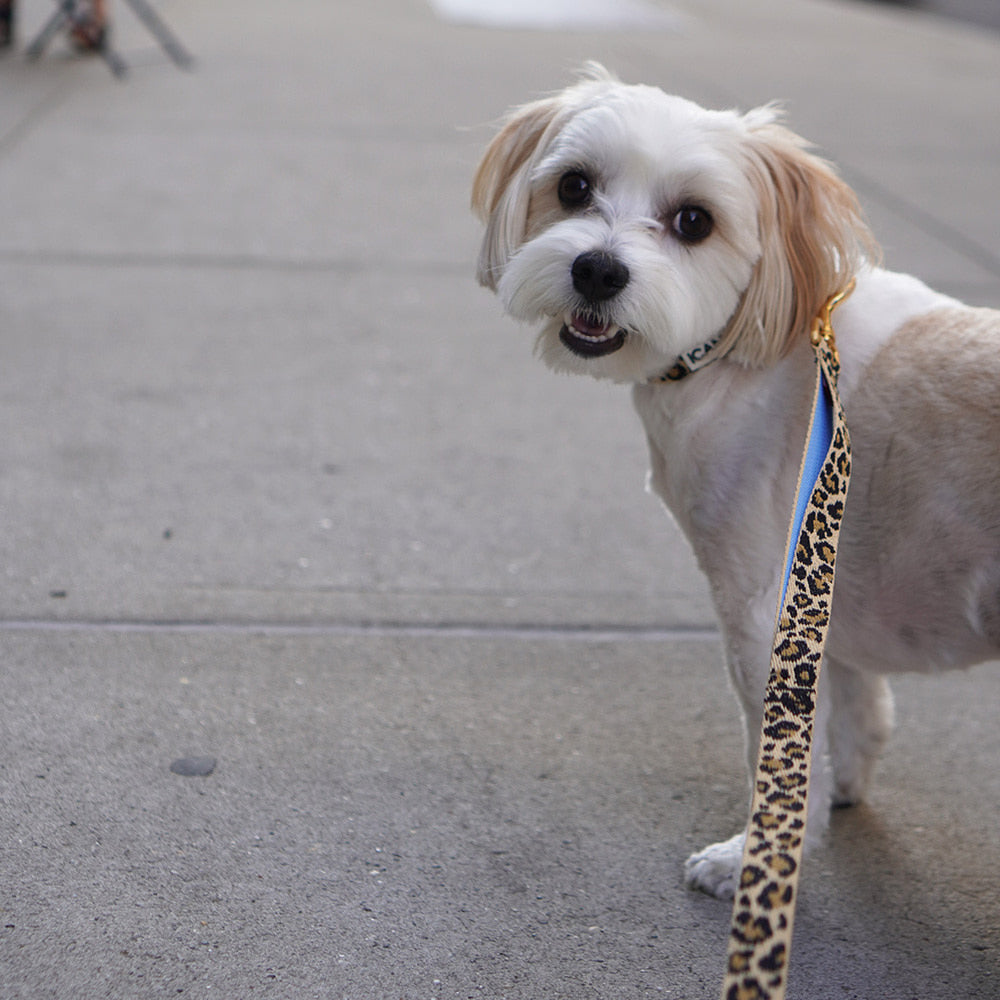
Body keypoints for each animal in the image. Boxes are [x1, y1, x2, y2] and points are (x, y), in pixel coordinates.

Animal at [468, 66, 1000, 904]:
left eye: (695, 222)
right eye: (574, 186)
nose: (598, 269)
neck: (740, 353)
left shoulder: (760, 607)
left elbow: (775, 746)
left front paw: (761, 852)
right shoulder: (824, 575)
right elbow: (855, 702)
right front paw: (835, 787)